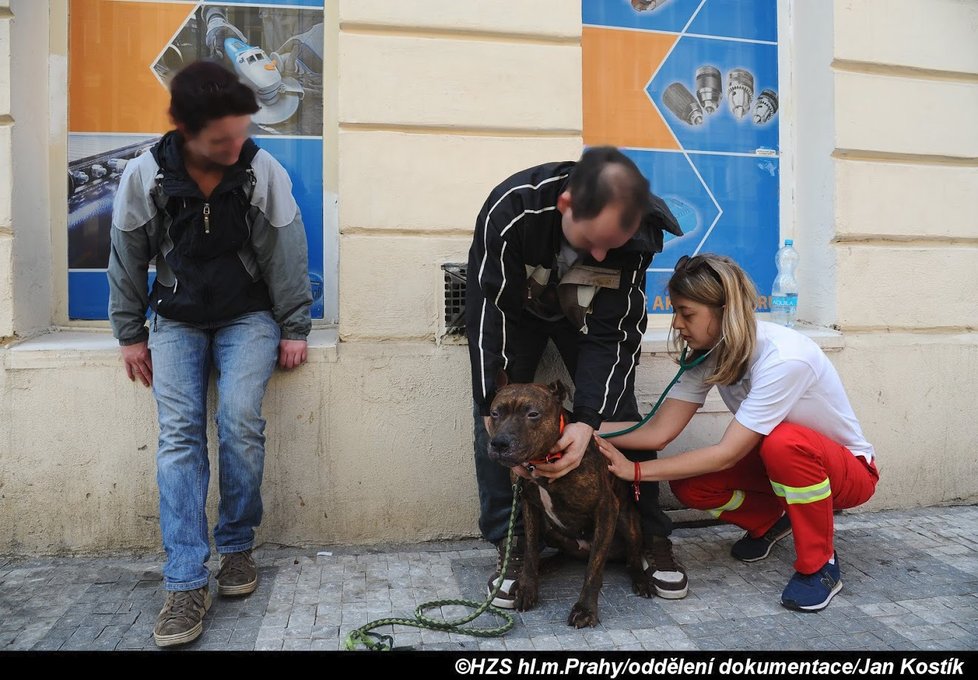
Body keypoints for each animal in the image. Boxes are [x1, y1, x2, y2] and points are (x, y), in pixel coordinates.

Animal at [486, 382, 652, 628]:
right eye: (495, 413)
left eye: (532, 414)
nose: (499, 443)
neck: (541, 462)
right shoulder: (529, 505)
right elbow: (530, 550)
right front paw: (527, 586)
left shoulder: (606, 508)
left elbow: (594, 570)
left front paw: (585, 609)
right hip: (549, 529)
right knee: (561, 553)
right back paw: (543, 566)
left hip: (628, 523)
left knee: (632, 558)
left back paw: (641, 580)